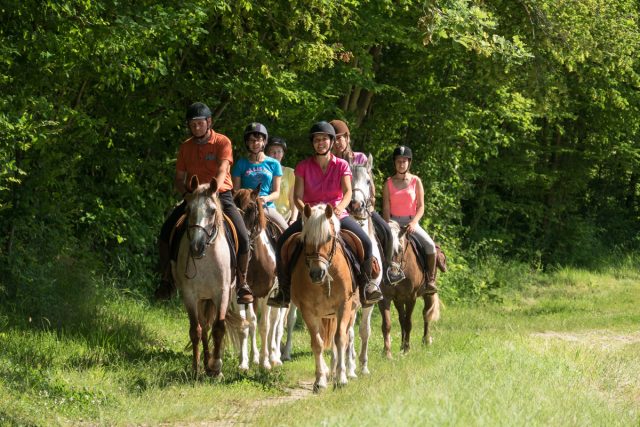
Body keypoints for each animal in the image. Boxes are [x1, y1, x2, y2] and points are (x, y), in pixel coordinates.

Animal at [232, 189, 288, 370]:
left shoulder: (266, 293)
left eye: (251, 208)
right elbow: (246, 324)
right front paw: (244, 363)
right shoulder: (240, 295)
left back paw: (274, 357)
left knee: (275, 324)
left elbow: (265, 326)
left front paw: (265, 363)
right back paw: (255, 357)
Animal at [292, 206, 360, 392]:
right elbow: (317, 343)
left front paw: (342, 378)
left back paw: (344, 371)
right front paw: (320, 380)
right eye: (305, 238)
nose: (317, 273)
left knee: (346, 336)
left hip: (349, 311)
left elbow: (341, 338)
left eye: (328, 237)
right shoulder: (308, 311)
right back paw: (329, 371)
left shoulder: (344, 305)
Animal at [378, 221, 442, 358]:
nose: (392, 275)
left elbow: (408, 323)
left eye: (400, 249)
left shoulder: (411, 297)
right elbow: (387, 325)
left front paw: (407, 349)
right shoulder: (385, 298)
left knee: (426, 314)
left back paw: (426, 341)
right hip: (398, 300)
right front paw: (387, 352)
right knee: (401, 319)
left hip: (427, 295)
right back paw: (402, 346)